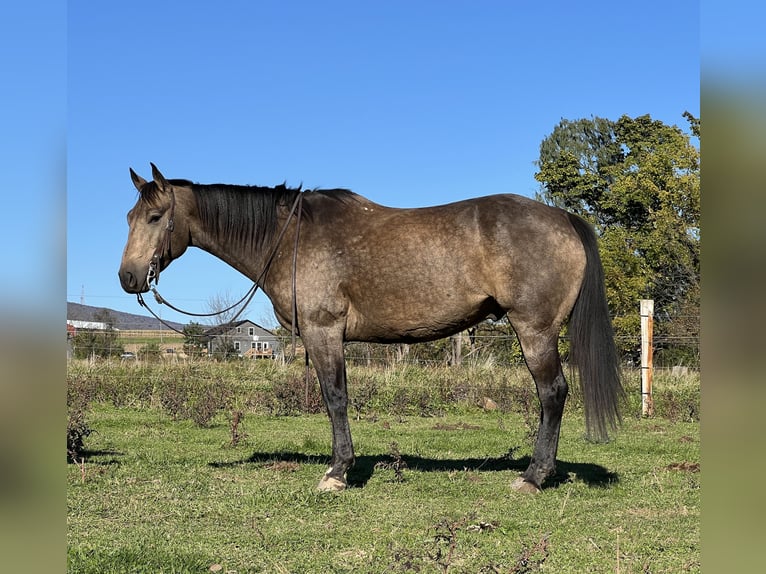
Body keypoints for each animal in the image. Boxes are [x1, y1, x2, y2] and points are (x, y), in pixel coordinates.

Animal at [120, 163, 624, 496]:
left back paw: (533, 477)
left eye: (154, 217)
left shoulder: (324, 332)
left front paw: (338, 472)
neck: (289, 236)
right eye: (129, 218)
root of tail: (563, 218)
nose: (127, 277)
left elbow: (335, 398)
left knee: (553, 394)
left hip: (534, 330)